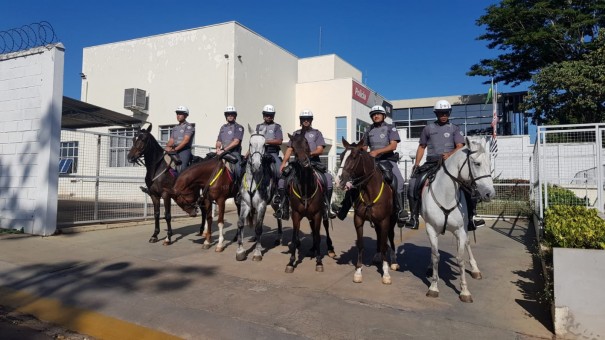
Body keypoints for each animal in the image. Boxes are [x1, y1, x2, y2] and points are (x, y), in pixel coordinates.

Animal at [235, 126, 280, 262]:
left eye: (264, 145)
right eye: (250, 143)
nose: (256, 165)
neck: (253, 180)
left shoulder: (262, 205)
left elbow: (259, 228)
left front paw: (257, 253)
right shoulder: (245, 204)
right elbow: (240, 224)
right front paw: (240, 251)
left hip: (274, 203)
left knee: (278, 220)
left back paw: (278, 238)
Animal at [284, 132, 336, 274]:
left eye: (306, 142)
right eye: (293, 147)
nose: (305, 162)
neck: (306, 188)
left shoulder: (318, 214)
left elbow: (318, 237)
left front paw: (319, 262)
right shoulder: (296, 215)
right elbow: (295, 237)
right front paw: (290, 262)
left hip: (323, 213)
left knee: (324, 228)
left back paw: (330, 248)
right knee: (313, 229)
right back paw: (312, 249)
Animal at [332, 137, 398, 284]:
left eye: (354, 157)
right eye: (341, 156)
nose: (338, 181)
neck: (370, 191)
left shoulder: (385, 220)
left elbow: (385, 244)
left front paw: (386, 273)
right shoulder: (358, 220)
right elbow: (361, 245)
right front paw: (358, 271)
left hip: (391, 220)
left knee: (390, 236)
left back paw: (393, 261)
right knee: (379, 235)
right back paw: (377, 256)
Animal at [420, 137, 496, 302]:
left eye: (489, 163)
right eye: (477, 163)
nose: (490, 194)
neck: (446, 196)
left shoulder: (461, 230)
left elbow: (460, 258)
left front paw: (464, 291)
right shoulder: (431, 228)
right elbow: (435, 256)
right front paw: (433, 287)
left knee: (466, 243)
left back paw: (475, 269)